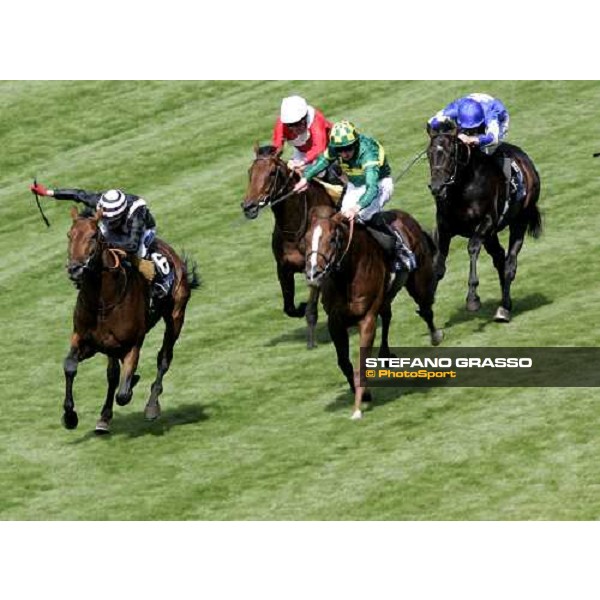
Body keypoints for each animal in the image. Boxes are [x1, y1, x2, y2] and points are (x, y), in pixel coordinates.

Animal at [63, 206, 199, 432]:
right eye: (69, 235)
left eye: (94, 236)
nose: (75, 269)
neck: (103, 301)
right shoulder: (85, 340)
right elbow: (70, 366)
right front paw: (69, 416)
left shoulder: (132, 344)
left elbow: (124, 394)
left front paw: (134, 382)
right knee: (112, 375)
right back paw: (104, 417)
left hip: (176, 316)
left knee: (164, 359)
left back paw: (152, 406)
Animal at [243, 145, 338, 350]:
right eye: (250, 172)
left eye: (272, 173)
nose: (249, 207)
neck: (294, 229)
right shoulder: (283, 268)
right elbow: (289, 308)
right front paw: (300, 307)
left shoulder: (317, 267)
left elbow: (311, 310)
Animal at [308, 204, 442, 420]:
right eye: (306, 238)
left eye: (332, 239)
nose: (314, 274)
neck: (347, 276)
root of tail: (405, 215)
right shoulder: (334, 321)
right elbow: (344, 362)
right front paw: (362, 394)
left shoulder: (367, 319)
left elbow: (362, 362)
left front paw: (357, 408)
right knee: (388, 316)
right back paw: (386, 354)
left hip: (418, 280)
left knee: (425, 309)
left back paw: (435, 335)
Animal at [426, 127, 544, 324]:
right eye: (429, 154)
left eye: (451, 154)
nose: (436, 187)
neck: (463, 188)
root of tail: (527, 162)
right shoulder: (444, 227)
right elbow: (438, 265)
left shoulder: (486, 223)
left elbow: (472, 248)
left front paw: (472, 299)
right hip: (491, 235)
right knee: (499, 257)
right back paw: (507, 301)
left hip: (518, 220)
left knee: (510, 264)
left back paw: (504, 308)